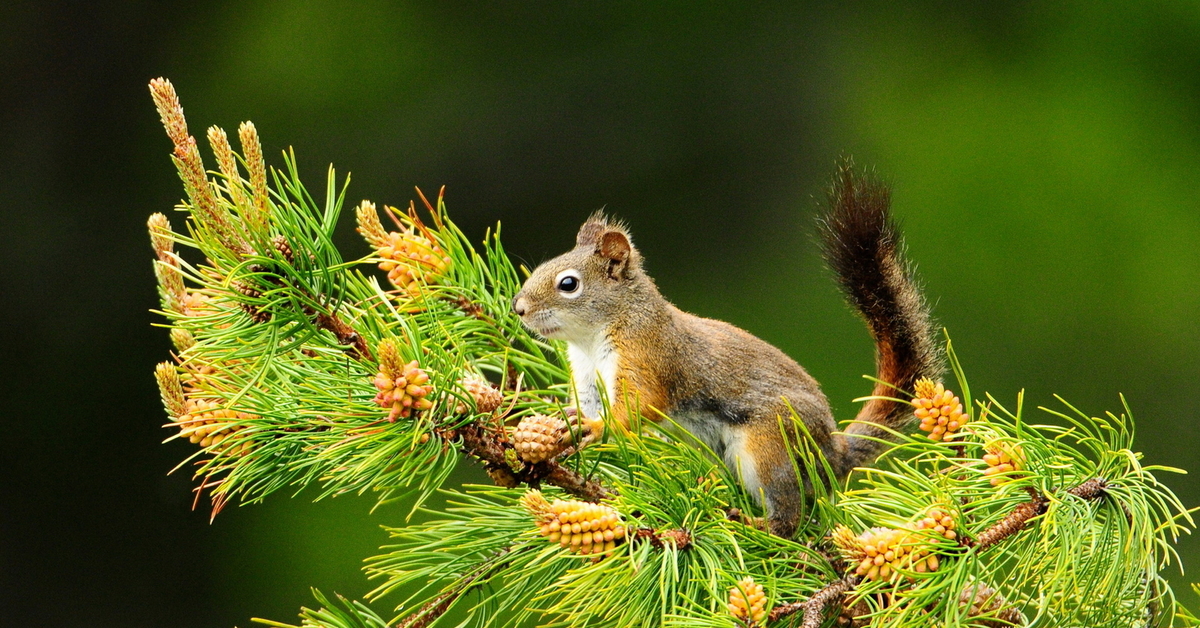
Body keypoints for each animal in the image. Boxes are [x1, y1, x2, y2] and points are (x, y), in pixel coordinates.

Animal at [511, 162, 940, 535]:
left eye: (569, 284)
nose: (519, 308)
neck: (592, 339)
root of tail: (832, 453)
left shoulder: (648, 357)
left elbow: (639, 405)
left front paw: (597, 427)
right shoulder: (586, 378)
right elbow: (586, 405)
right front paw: (565, 422)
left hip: (770, 447)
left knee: (789, 515)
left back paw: (756, 524)